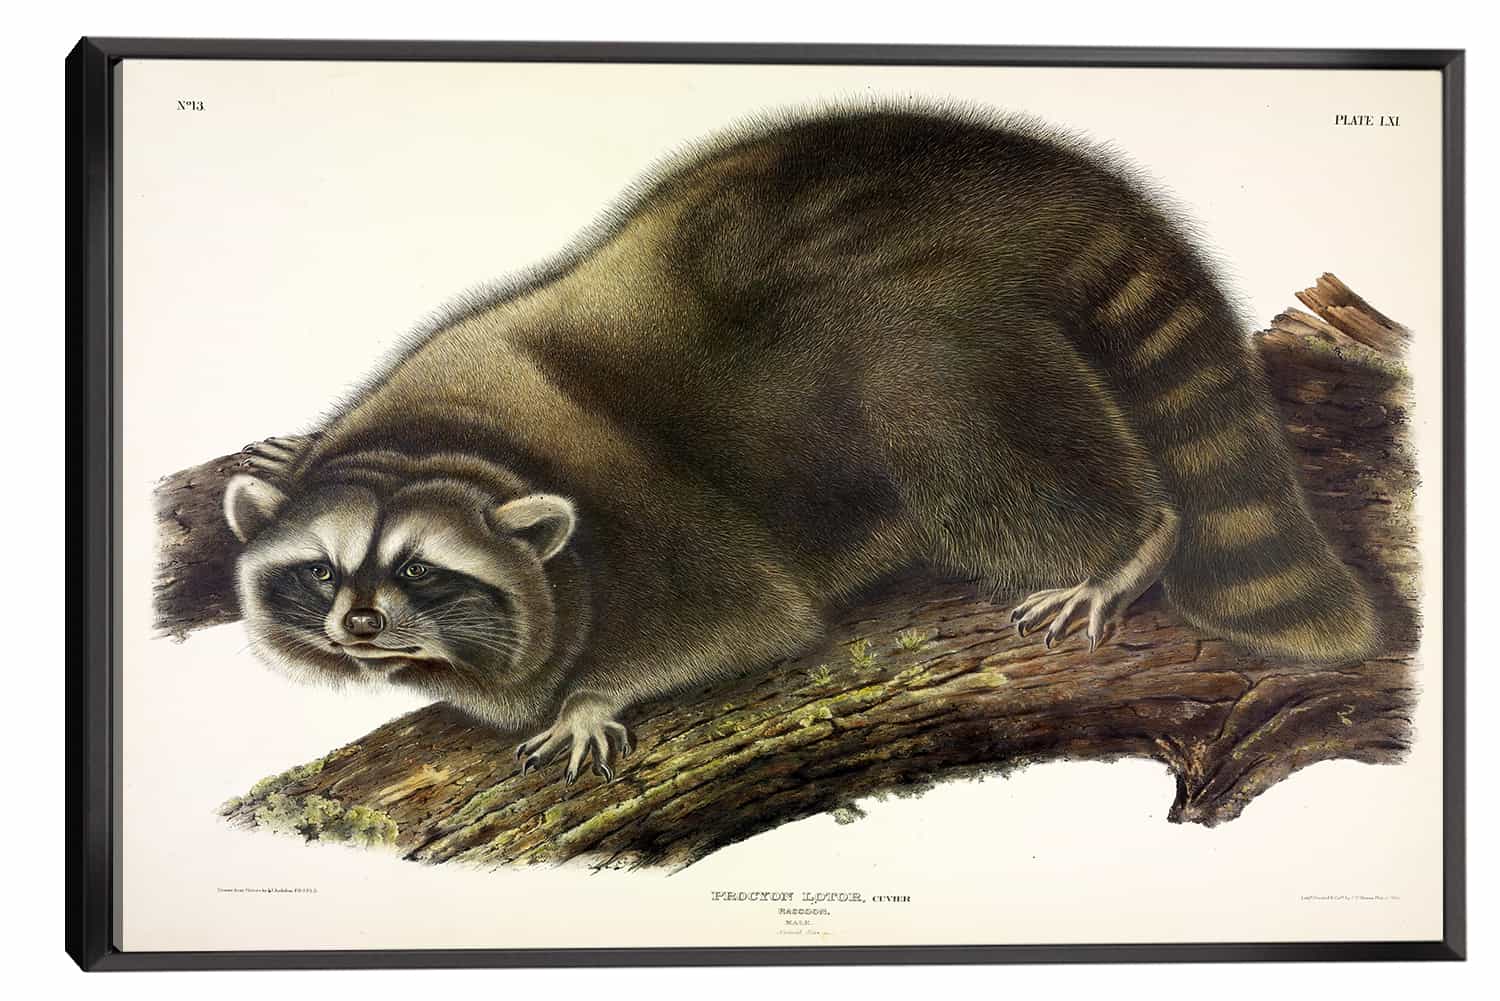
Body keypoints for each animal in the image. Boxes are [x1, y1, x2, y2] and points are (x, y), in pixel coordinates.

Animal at [223, 104, 1379, 784]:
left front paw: (594, 694)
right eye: (322, 569)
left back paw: (1129, 544)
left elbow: (749, 617)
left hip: (934, 339)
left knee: (958, 435)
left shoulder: (647, 517)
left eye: (421, 567)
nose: (361, 623)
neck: (448, 445)